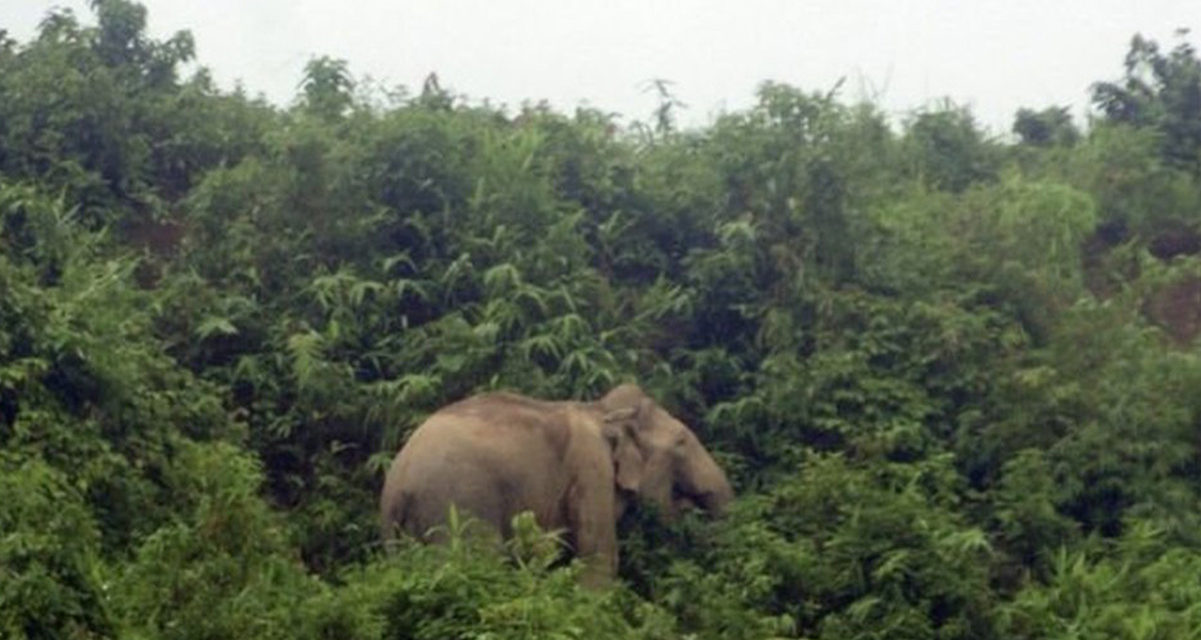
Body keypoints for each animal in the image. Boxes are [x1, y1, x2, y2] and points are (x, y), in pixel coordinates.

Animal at [377, 381, 730, 585]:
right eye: (682, 442)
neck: (601, 410)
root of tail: (398, 482)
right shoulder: (591, 469)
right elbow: (598, 557)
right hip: (456, 507)